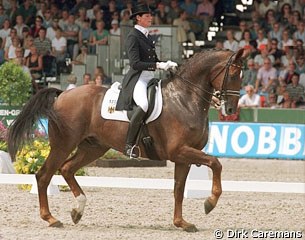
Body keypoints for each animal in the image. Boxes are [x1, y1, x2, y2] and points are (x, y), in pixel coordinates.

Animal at [7, 48, 247, 231]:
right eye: (234, 75)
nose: (230, 110)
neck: (185, 99)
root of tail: (62, 94)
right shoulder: (179, 151)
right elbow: (216, 163)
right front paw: (209, 203)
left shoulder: (183, 156)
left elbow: (179, 189)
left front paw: (181, 223)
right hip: (63, 144)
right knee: (44, 175)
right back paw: (51, 218)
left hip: (93, 147)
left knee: (66, 169)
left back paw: (77, 210)